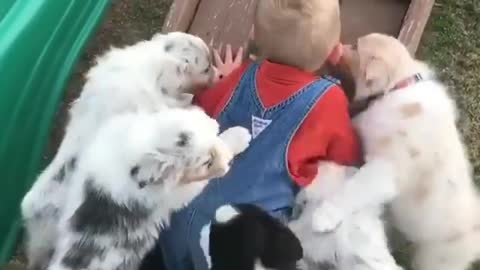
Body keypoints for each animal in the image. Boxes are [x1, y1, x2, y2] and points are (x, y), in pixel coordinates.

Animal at [314, 33, 478, 270]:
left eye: (355, 47)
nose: (337, 46)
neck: (398, 85)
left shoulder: (386, 169)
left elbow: (353, 189)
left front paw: (323, 217)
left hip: (436, 258)